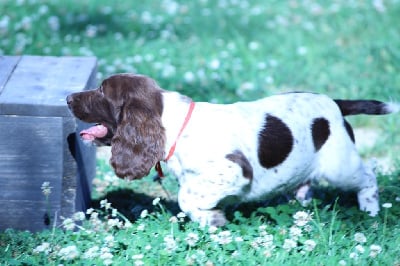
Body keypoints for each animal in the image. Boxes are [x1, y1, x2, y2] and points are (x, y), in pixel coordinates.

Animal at [67, 73, 398, 227]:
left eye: (102, 91)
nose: (69, 98)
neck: (175, 124)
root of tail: (335, 103)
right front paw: (212, 215)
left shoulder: (235, 169)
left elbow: (186, 196)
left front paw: (212, 218)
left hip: (339, 165)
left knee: (368, 177)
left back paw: (370, 212)